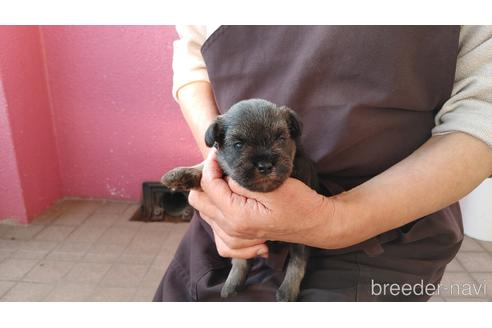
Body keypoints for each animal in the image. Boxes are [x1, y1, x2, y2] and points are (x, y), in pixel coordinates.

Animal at [161, 98, 320, 302]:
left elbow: (296, 263)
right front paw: (180, 174)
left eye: (281, 139)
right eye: (238, 145)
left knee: (297, 262)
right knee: (242, 261)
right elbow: (207, 168)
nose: (265, 166)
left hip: (301, 240)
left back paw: (287, 291)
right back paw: (232, 284)